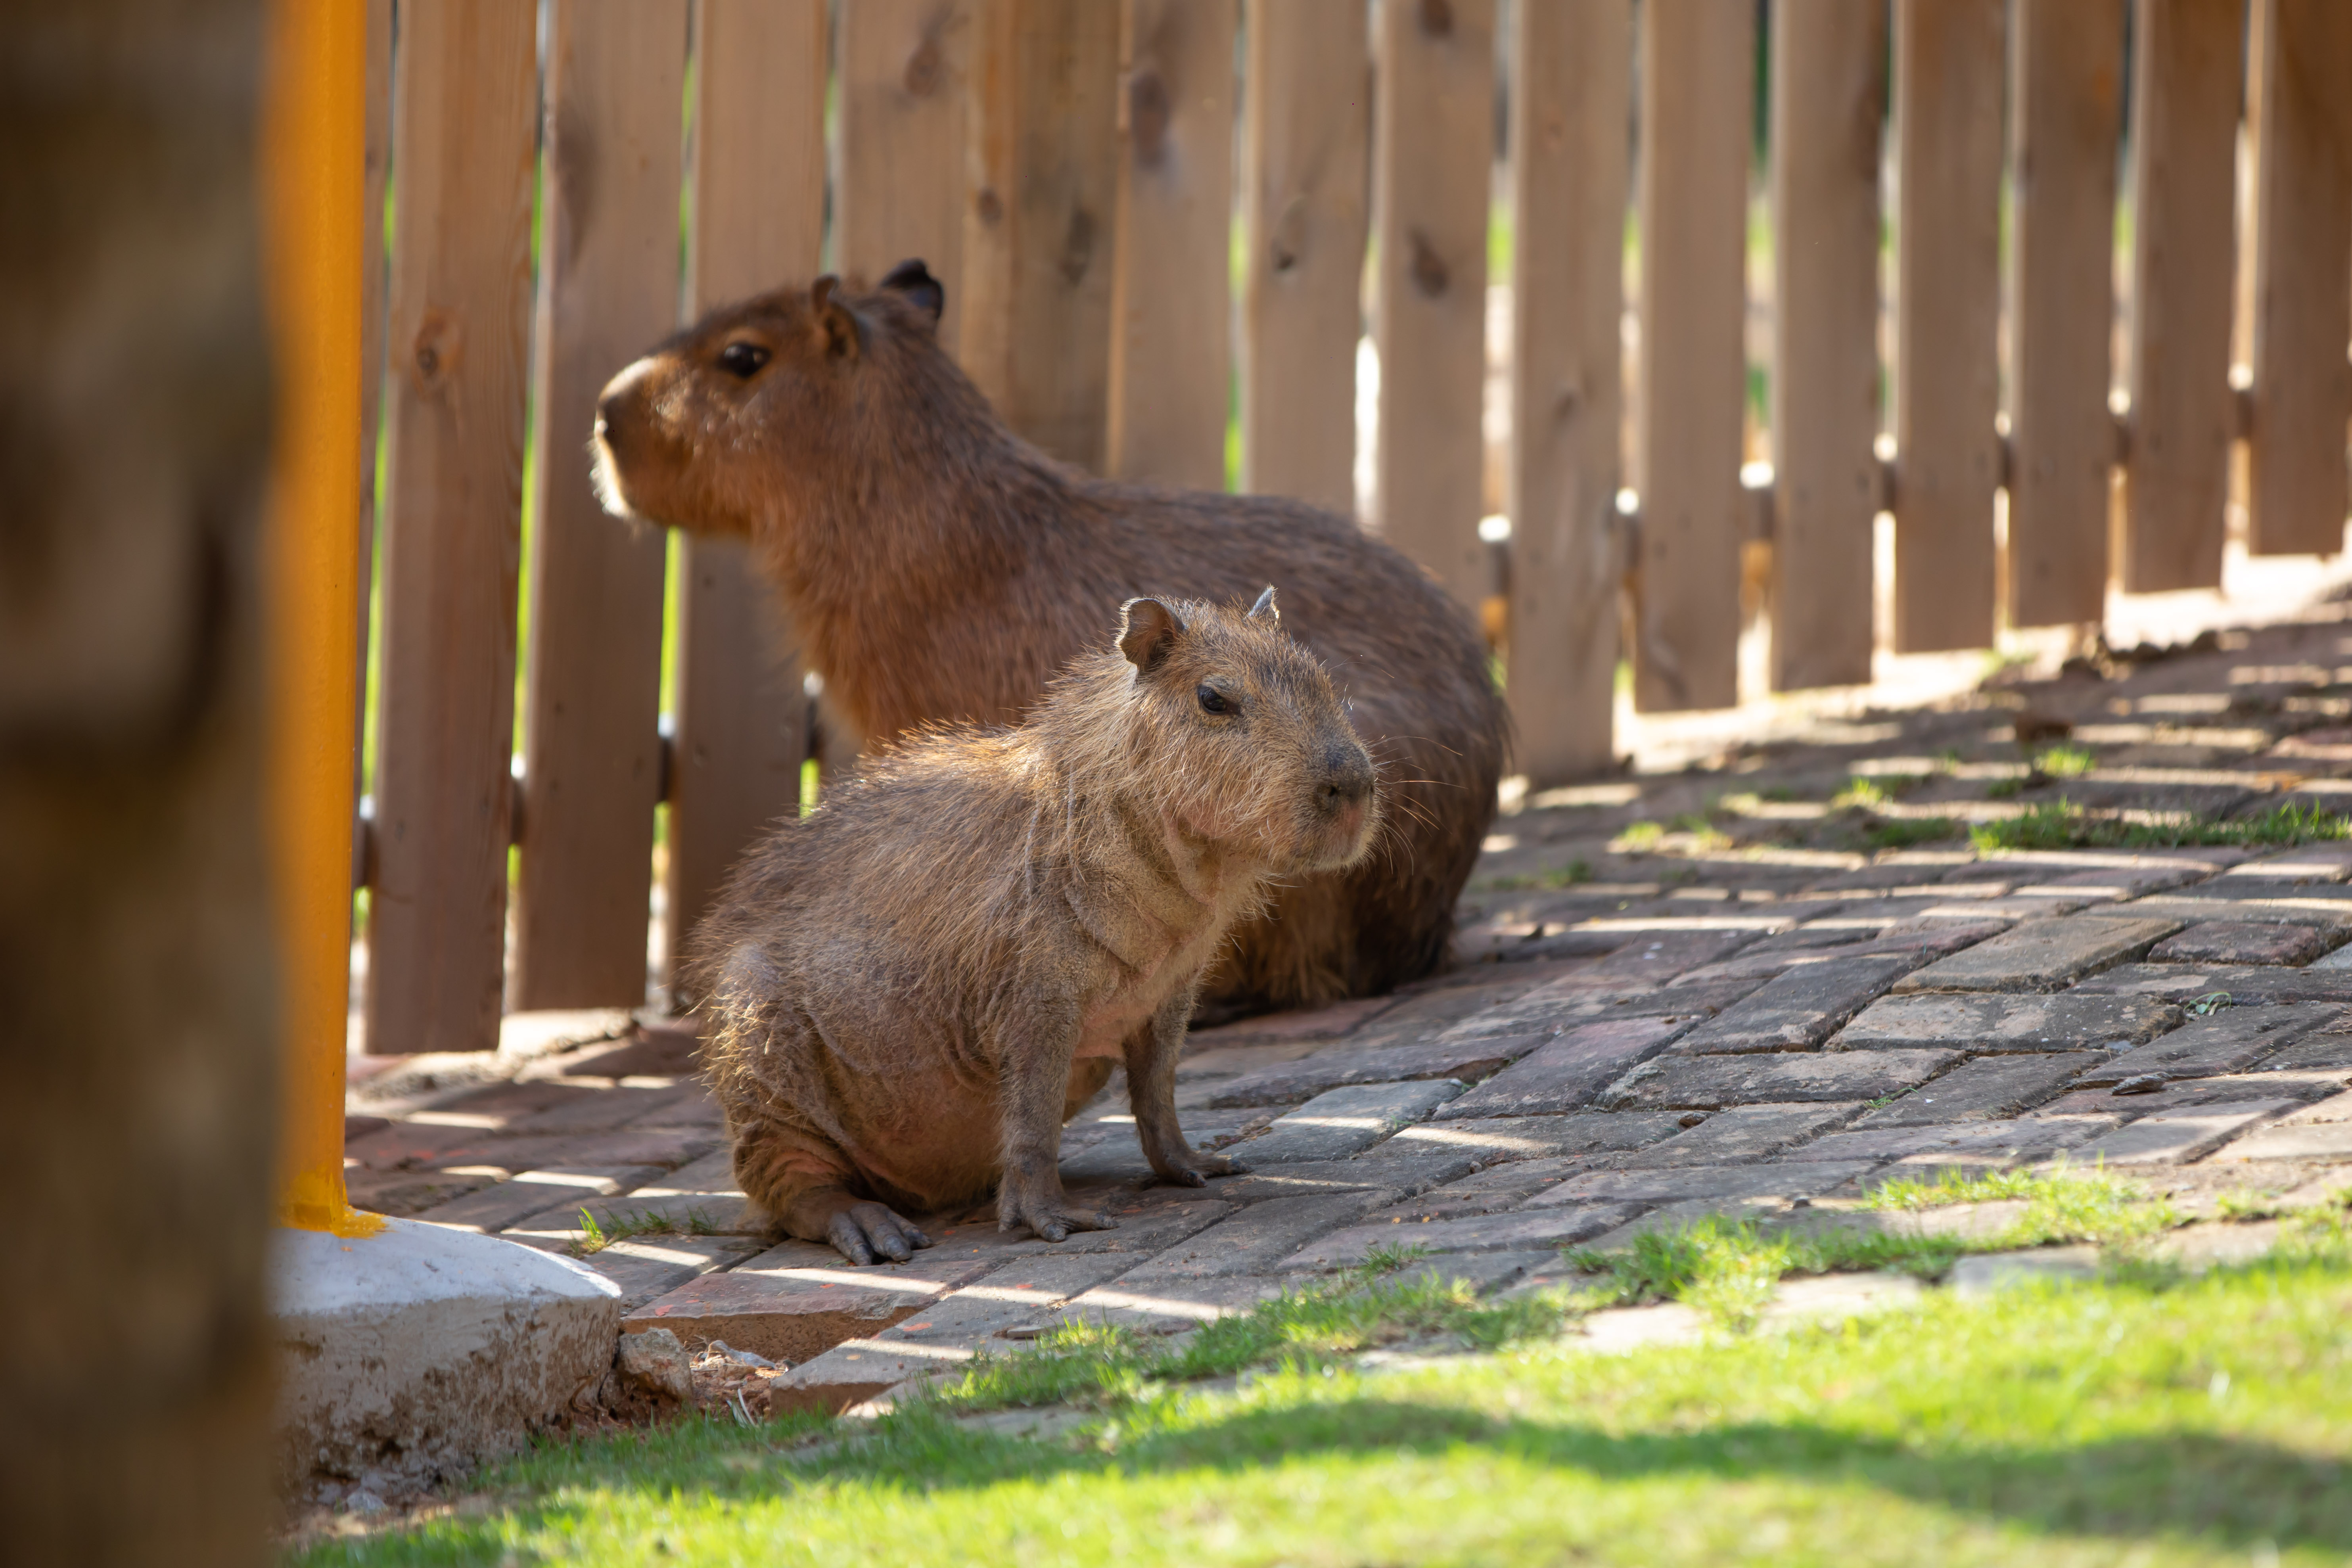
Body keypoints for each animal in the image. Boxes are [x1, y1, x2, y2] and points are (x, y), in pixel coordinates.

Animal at [689, 592, 1378, 1263]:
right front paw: (1053, 1220)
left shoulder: (1172, 993)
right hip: (753, 1044)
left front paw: (1201, 1166)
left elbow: (1157, 1090)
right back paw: (874, 1231)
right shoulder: (1031, 995)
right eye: (1213, 697)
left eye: (1321, 679)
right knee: (790, 1187)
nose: (1351, 785)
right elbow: (1034, 1111)